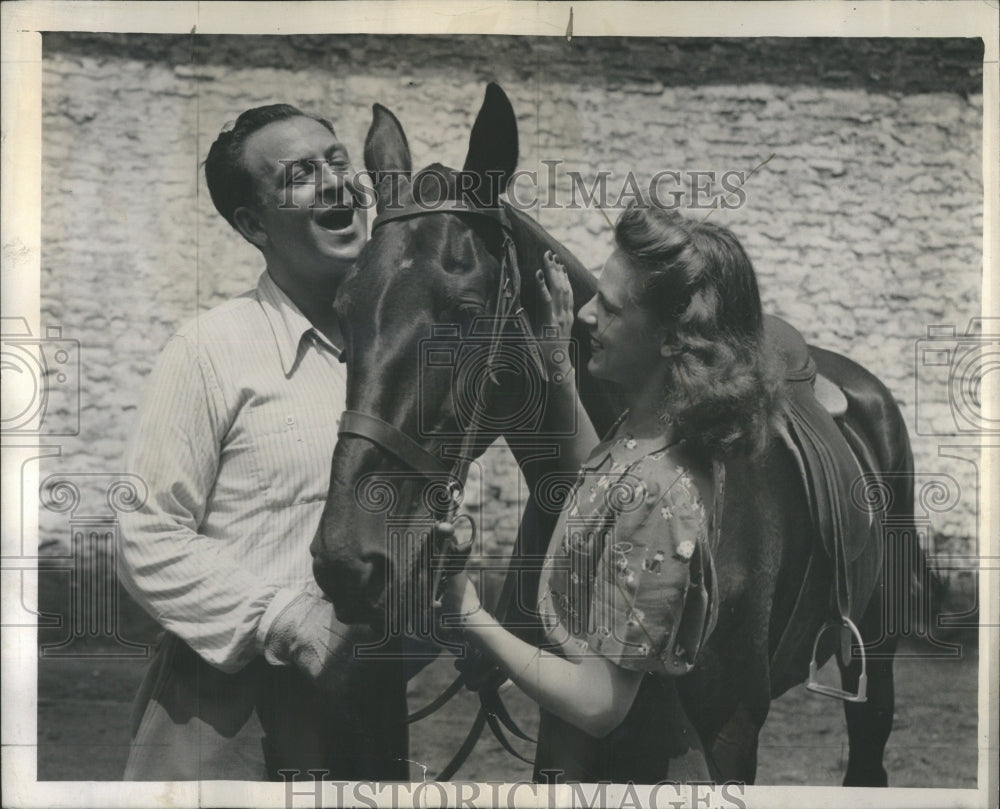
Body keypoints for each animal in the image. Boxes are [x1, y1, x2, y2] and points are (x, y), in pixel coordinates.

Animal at [308, 85, 916, 784]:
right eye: (344, 308)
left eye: (465, 313)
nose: (347, 560)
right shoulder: (568, 727)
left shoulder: (732, 732)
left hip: (874, 655)